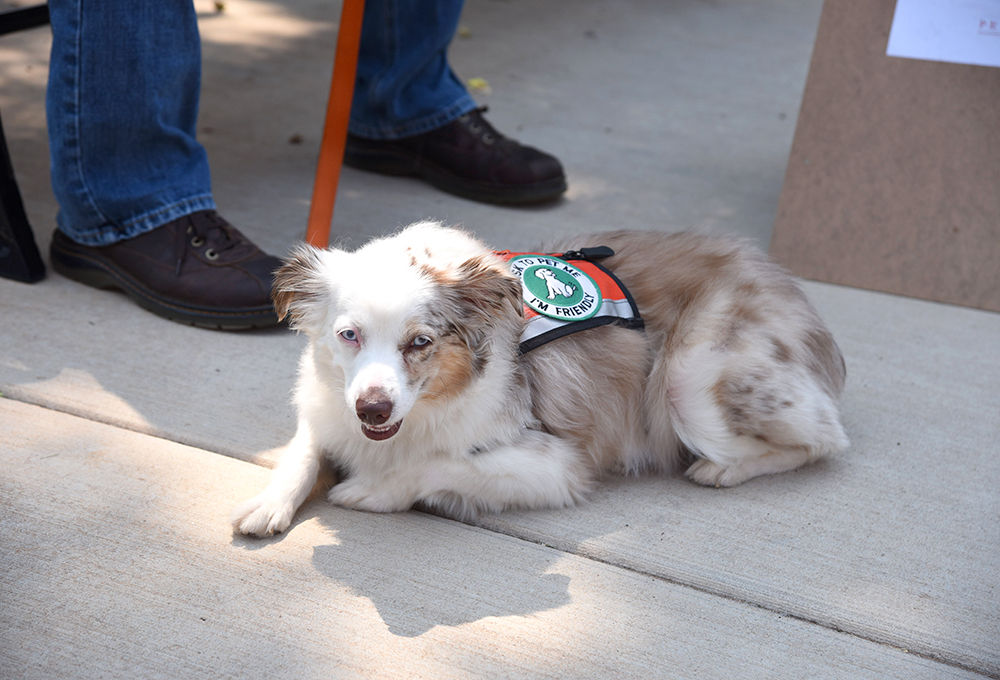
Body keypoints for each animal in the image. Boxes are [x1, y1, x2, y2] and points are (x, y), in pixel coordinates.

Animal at [230, 222, 848, 536]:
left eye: (420, 343)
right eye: (348, 334)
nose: (373, 409)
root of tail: (779, 279)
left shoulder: (557, 464)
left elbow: (438, 463)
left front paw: (375, 490)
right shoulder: (327, 405)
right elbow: (305, 450)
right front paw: (270, 501)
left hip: (688, 378)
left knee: (825, 438)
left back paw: (723, 467)